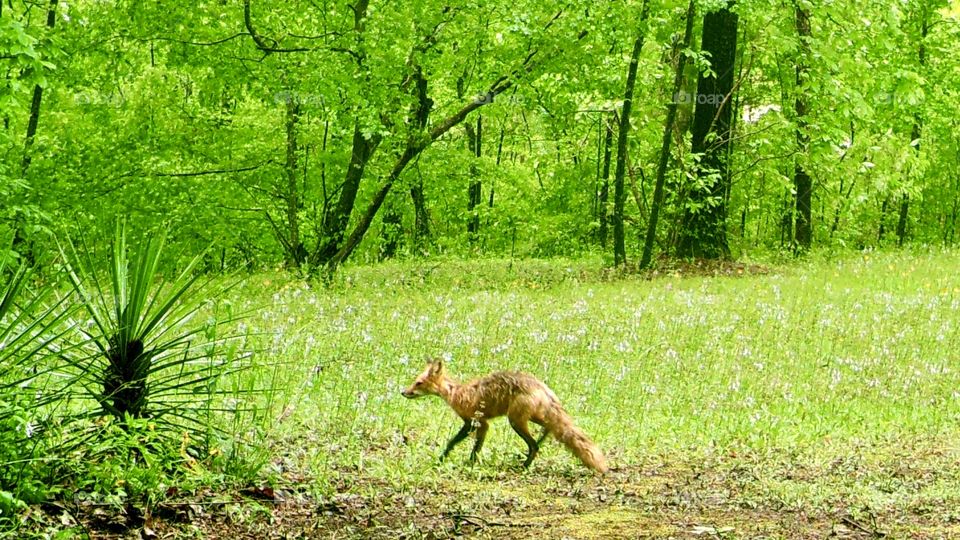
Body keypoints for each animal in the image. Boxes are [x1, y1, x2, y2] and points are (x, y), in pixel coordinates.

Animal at [402, 358, 612, 472]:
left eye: (418, 383)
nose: (403, 392)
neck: (458, 393)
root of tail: (543, 387)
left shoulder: (475, 422)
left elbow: (455, 443)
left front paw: (446, 460)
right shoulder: (480, 424)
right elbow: (473, 447)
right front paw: (467, 462)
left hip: (516, 421)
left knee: (534, 445)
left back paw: (524, 466)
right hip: (532, 417)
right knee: (548, 431)